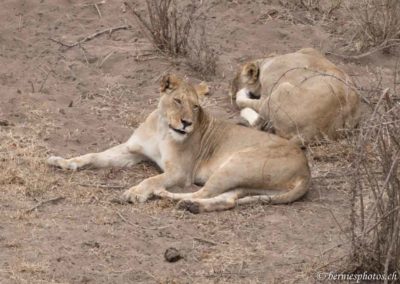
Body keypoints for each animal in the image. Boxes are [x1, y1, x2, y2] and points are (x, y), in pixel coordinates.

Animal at [47, 74, 310, 212]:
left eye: (195, 106)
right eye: (177, 101)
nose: (186, 123)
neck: (163, 129)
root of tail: (306, 171)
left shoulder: (180, 172)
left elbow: (152, 179)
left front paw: (136, 192)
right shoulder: (131, 151)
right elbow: (93, 155)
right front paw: (63, 161)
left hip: (237, 163)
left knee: (202, 192)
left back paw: (169, 196)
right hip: (246, 182)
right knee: (226, 199)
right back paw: (188, 204)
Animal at [230, 47, 360, 144]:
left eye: (235, 81)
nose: (230, 92)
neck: (268, 61)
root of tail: (308, 133)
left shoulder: (268, 88)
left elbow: (242, 101)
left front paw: (242, 92)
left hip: (280, 90)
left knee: (257, 121)